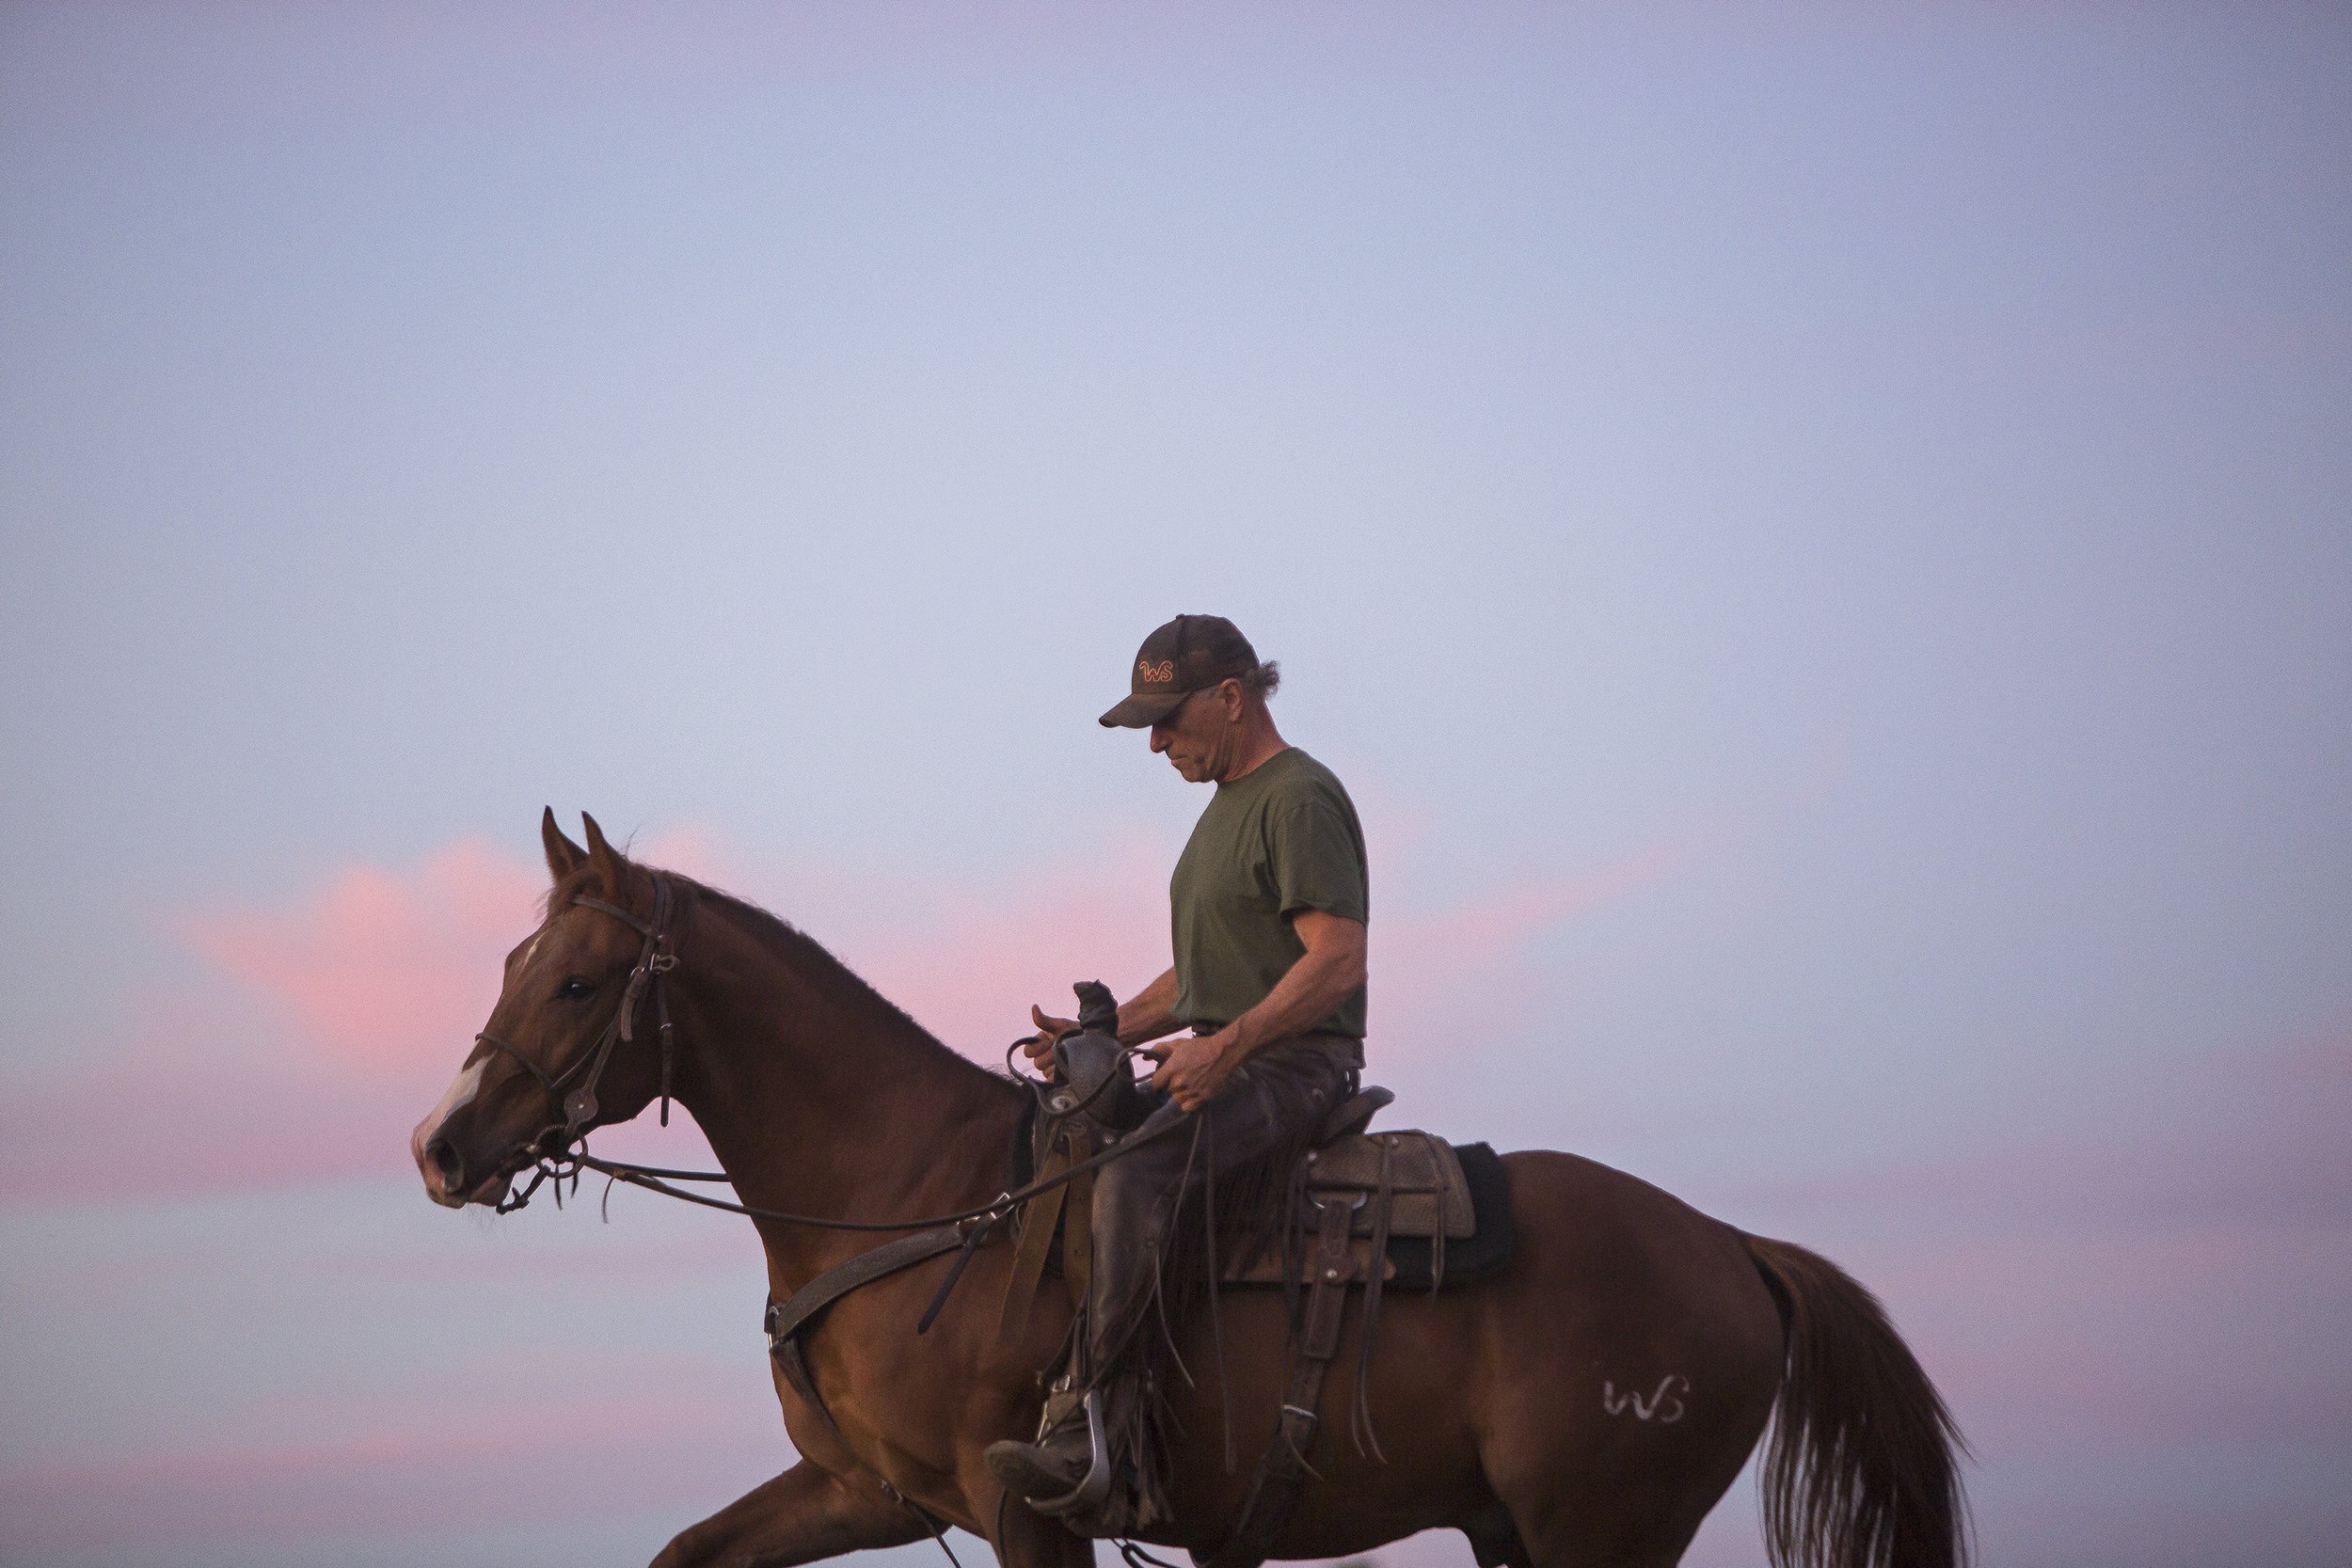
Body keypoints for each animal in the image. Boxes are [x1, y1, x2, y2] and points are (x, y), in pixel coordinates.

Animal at [409, 817, 1966, 1568]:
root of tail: (1734, 1245)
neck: (912, 1193)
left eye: (576, 979)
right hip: (1515, 1529)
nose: (441, 1143)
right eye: (510, 960)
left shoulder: (1025, 1508)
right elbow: (689, 1549)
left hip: (1604, 1533)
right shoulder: (870, 1491)